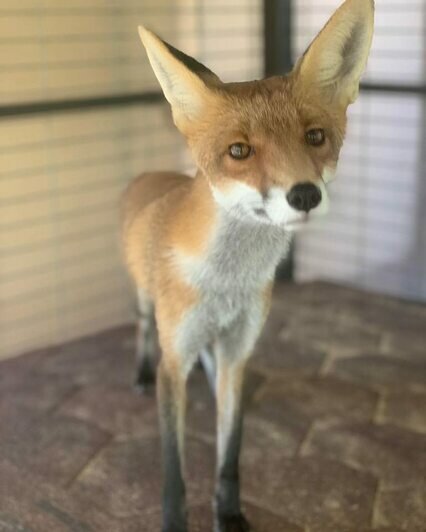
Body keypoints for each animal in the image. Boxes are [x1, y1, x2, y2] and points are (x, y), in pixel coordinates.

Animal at [120, 2, 372, 528]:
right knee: (143, 330)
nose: (305, 195)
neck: (225, 282)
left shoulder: (238, 350)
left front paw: (229, 514)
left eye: (314, 137)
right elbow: (173, 474)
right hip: (145, 304)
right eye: (239, 151)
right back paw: (138, 374)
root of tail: (151, 176)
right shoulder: (174, 359)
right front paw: (175, 521)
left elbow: (230, 450)